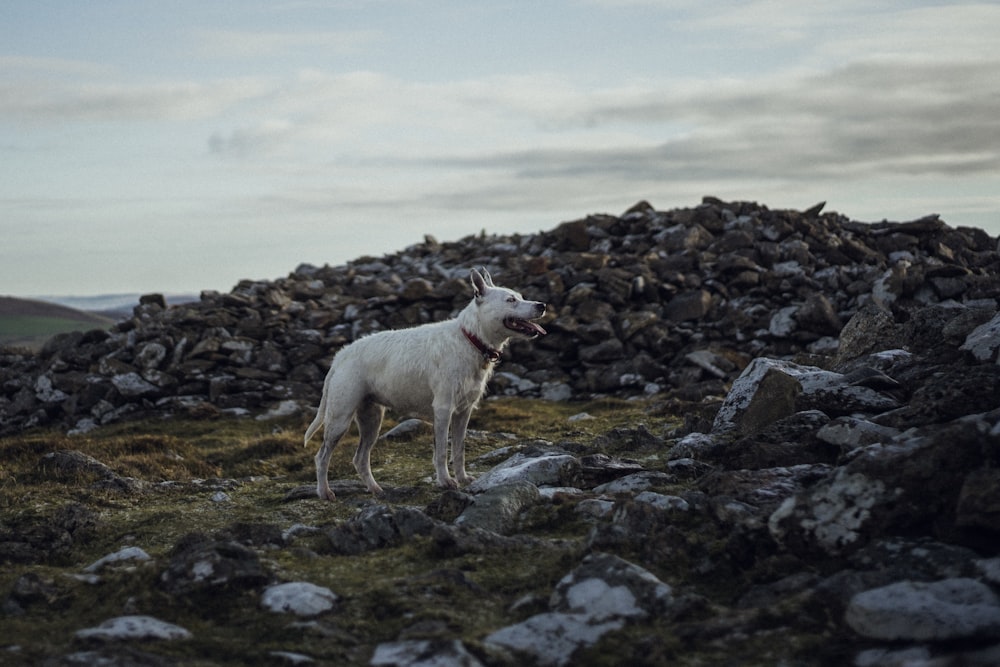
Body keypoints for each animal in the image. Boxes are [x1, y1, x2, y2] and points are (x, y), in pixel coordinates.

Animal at [302, 268, 548, 498]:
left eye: (520, 296)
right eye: (511, 300)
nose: (542, 305)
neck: (470, 339)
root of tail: (340, 356)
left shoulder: (463, 412)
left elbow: (459, 450)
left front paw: (462, 478)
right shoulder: (443, 410)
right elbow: (441, 452)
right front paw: (445, 481)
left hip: (372, 420)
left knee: (360, 459)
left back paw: (375, 489)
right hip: (339, 419)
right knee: (321, 457)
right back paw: (324, 492)